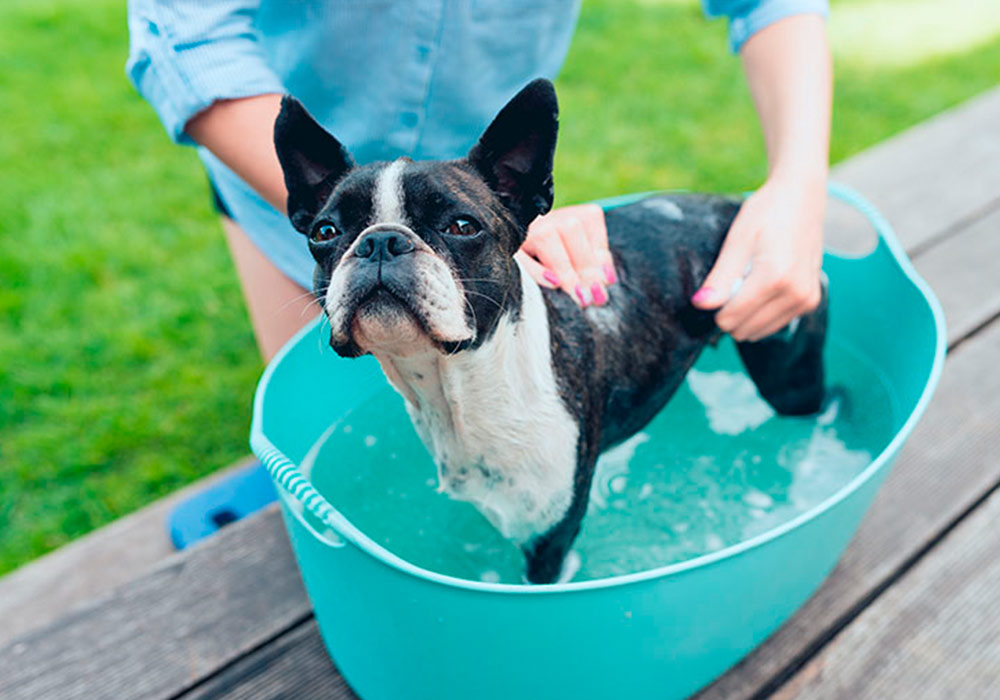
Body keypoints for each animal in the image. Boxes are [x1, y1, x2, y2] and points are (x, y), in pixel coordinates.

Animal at [274, 78, 828, 584]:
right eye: (325, 232)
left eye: (462, 226)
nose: (381, 241)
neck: (461, 386)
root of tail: (738, 207)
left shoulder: (548, 539)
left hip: (786, 371)